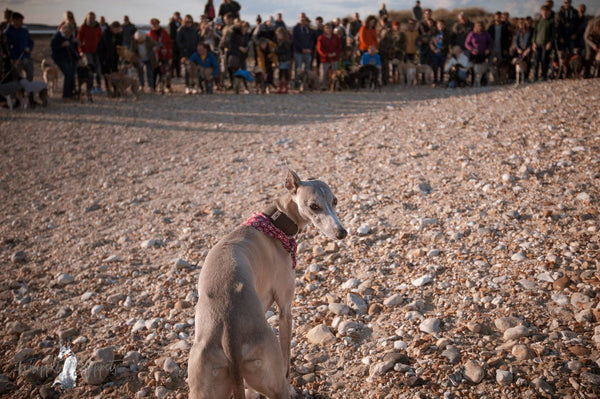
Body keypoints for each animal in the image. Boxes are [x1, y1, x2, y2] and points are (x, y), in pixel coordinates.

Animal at [188, 170, 346, 399]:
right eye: (314, 206)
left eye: (334, 201)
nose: (342, 233)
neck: (274, 223)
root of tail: (229, 338)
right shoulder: (285, 309)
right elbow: (287, 356)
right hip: (273, 376)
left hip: (206, 383)